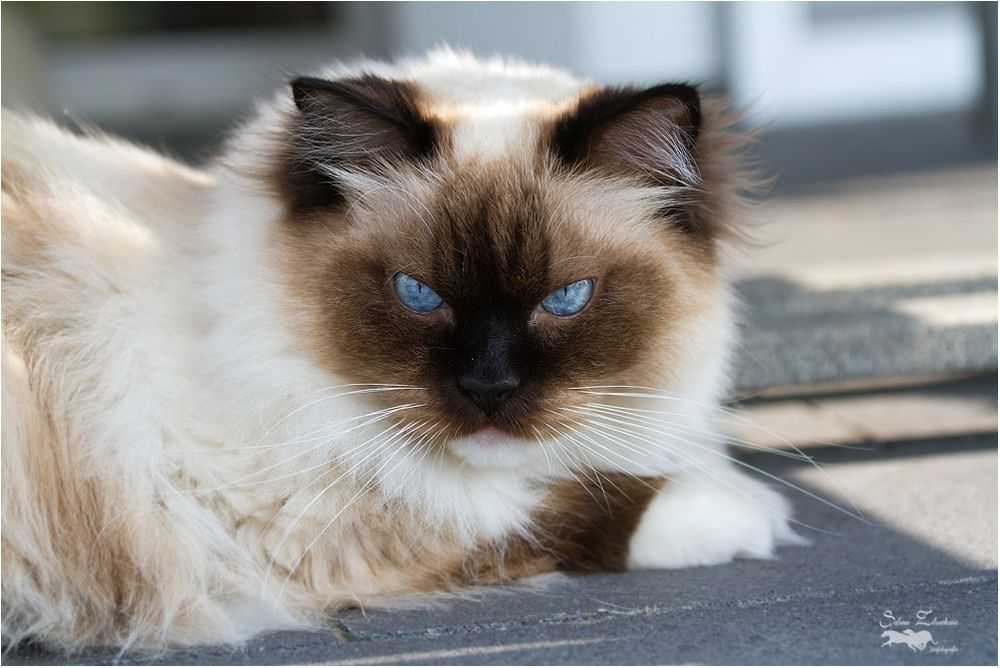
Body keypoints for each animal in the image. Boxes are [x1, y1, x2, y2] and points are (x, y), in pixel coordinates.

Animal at [0, 51, 796, 652]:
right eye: (418, 294)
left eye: (566, 299)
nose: (489, 388)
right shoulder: (291, 528)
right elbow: (561, 510)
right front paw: (749, 512)